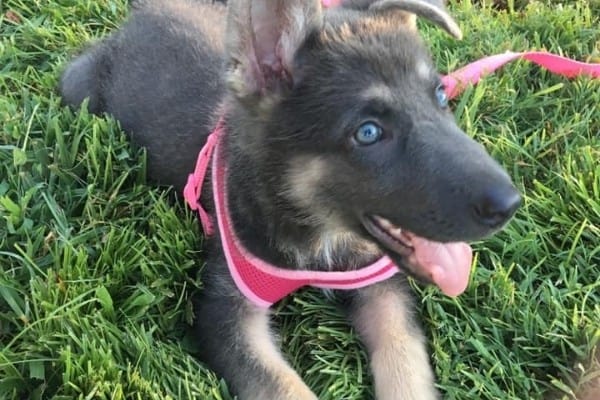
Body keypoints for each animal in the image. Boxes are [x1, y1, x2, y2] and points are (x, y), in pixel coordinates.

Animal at [59, 1, 520, 398]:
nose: (510, 205)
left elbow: (405, 362)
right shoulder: (227, 314)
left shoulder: (381, 286)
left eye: (440, 96)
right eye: (368, 132)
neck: (319, 235)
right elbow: (282, 386)